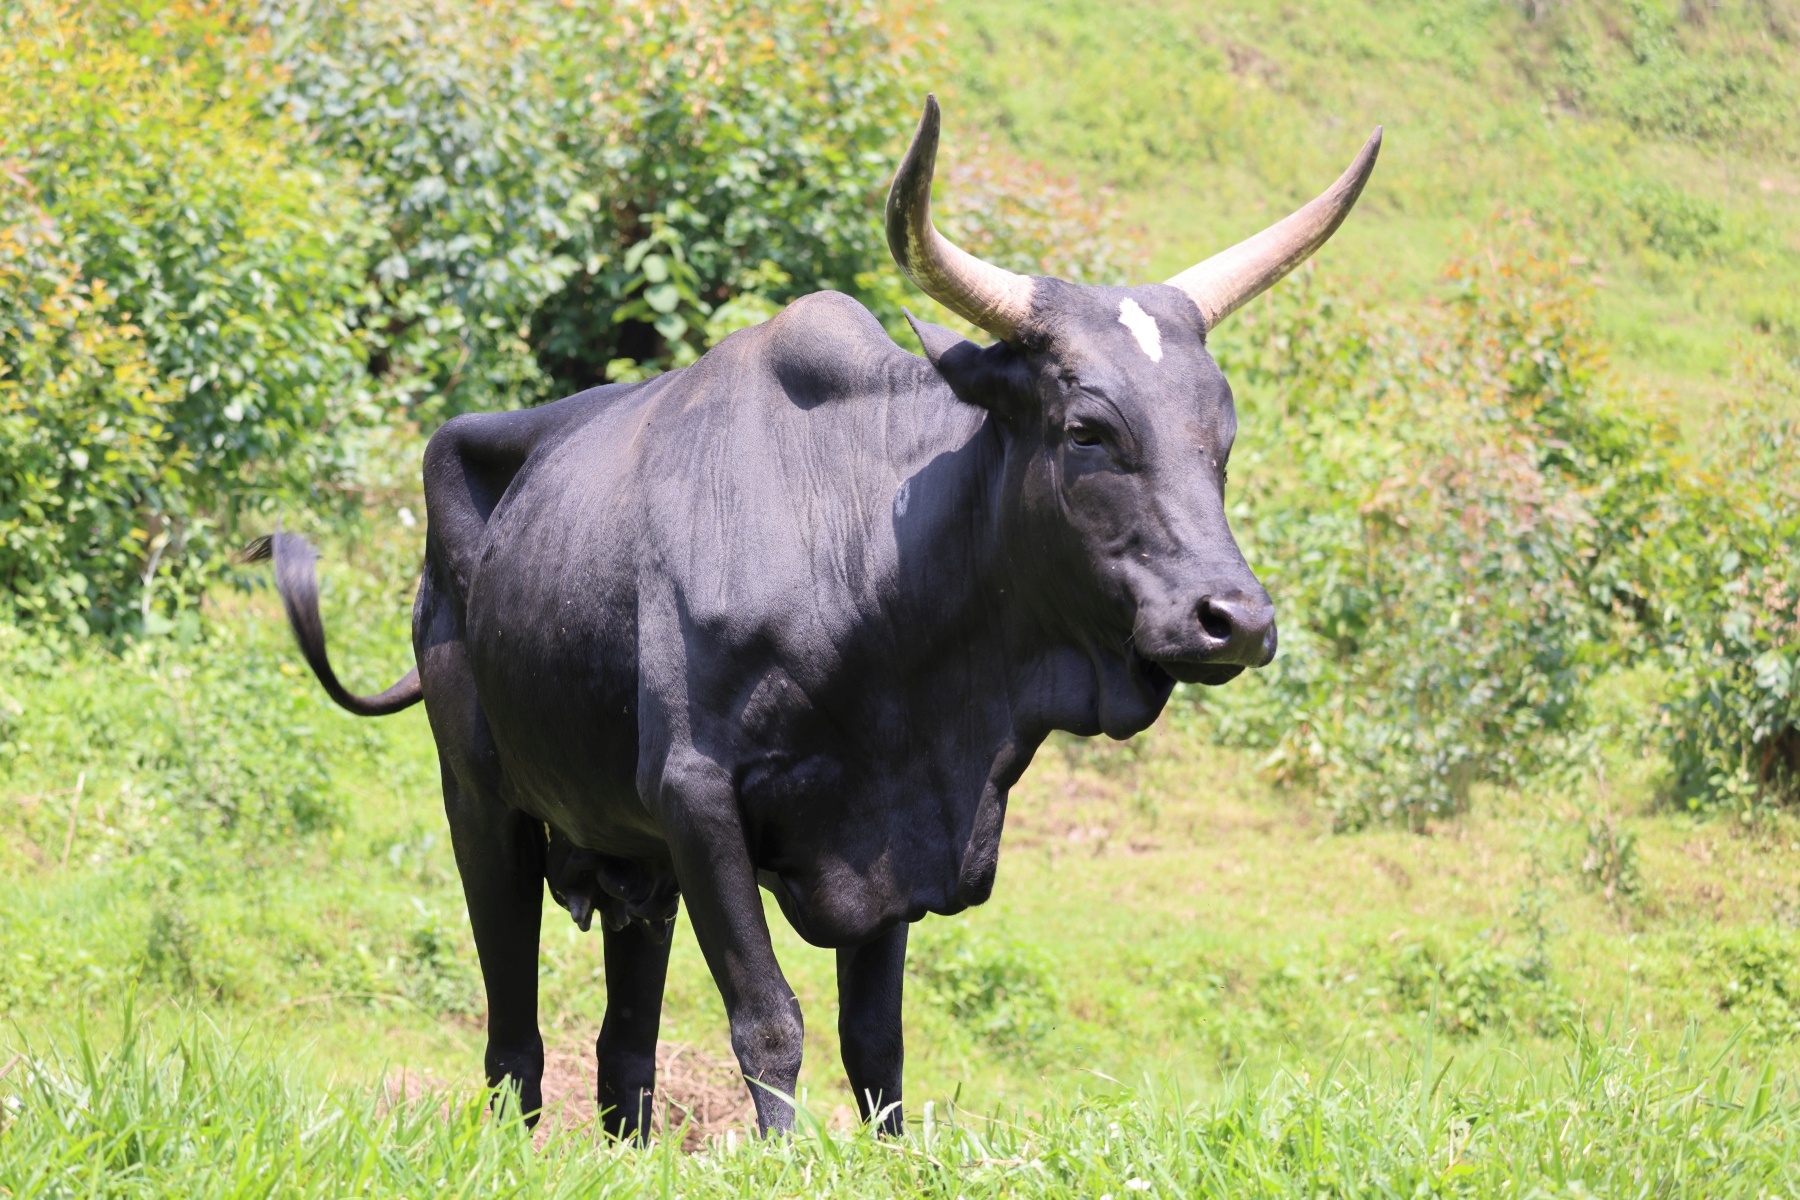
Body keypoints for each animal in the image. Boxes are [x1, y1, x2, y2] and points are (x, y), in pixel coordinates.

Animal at [256, 95, 1379, 1140]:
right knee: (511, 1028)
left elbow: (874, 1042)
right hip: (481, 799)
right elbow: (770, 1021)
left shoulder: (892, 837)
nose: (1234, 619)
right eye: (1088, 429)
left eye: (1221, 437)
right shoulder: (697, 797)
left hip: (631, 860)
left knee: (624, 1046)